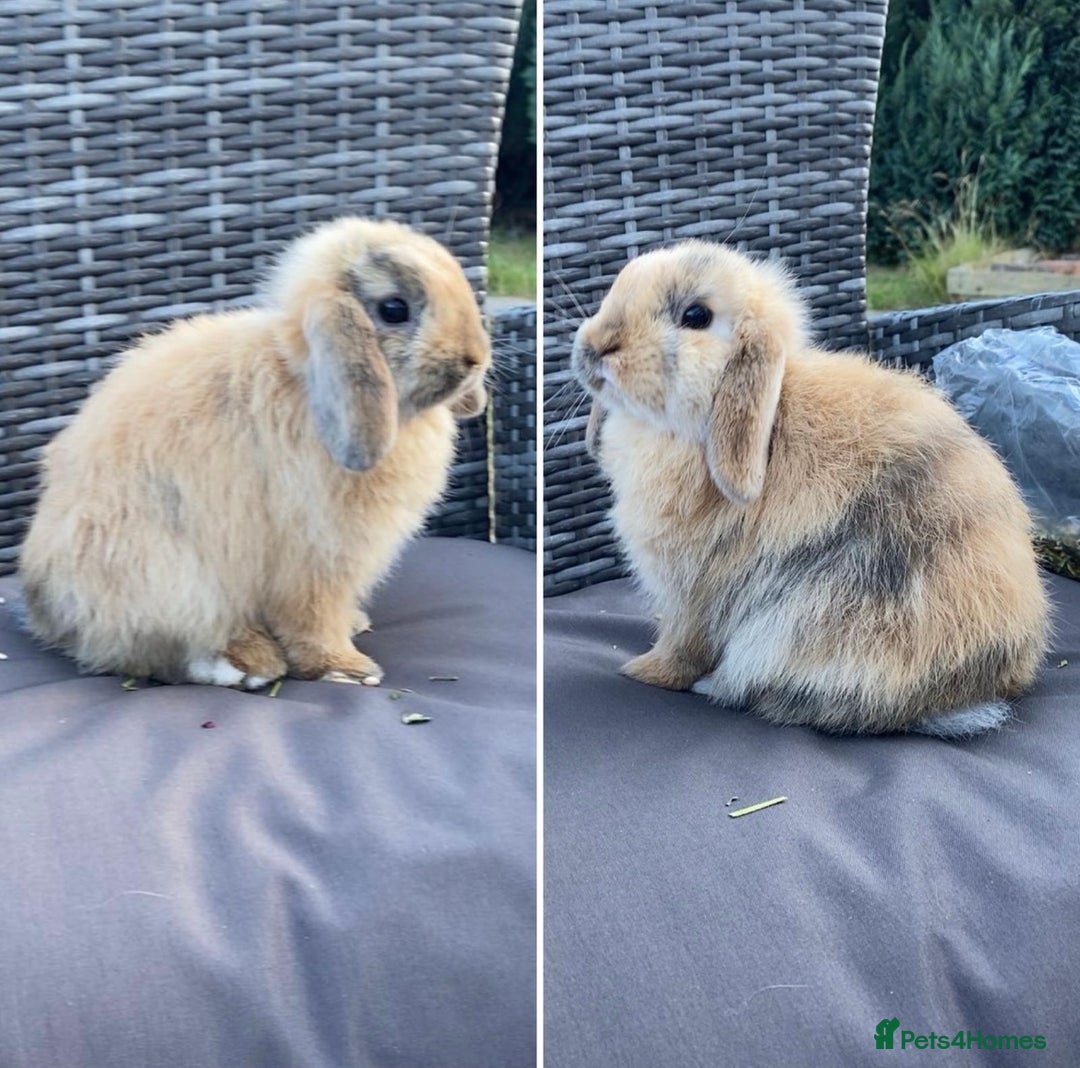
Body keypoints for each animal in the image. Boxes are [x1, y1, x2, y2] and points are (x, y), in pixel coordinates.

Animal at [18, 216, 490, 688]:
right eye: (394, 309)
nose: (474, 359)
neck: (303, 381)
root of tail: (46, 612)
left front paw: (351, 629)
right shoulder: (317, 558)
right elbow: (312, 620)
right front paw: (346, 668)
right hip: (172, 579)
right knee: (164, 649)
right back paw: (251, 665)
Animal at [572, 240, 1048, 736]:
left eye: (696, 316)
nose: (594, 346)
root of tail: (979, 689)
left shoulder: (694, 594)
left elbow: (681, 646)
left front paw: (641, 670)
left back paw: (715, 685)